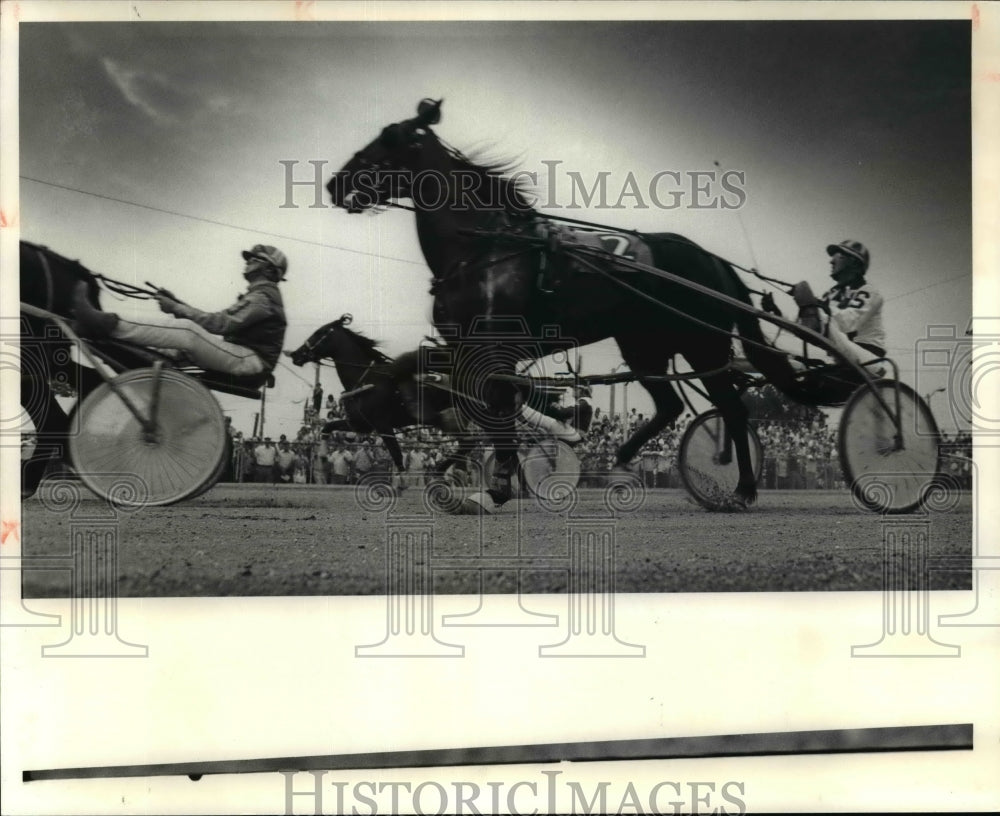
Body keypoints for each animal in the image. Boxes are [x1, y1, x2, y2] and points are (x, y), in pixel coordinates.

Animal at [328, 100, 796, 510]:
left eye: (389, 138)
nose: (335, 183)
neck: (484, 249)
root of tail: (713, 260)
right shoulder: (465, 347)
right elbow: (440, 383)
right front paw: (457, 465)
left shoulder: (495, 348)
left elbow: (494, 409)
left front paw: (497, 484)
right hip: (644, 345)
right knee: (670, 406)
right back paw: (621, 461)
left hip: (702, 344)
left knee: (731, 410)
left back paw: (741, 488)